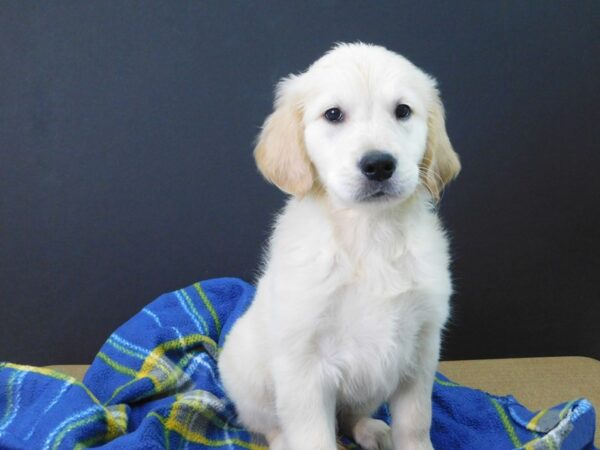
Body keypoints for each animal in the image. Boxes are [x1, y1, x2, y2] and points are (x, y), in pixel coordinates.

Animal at [219, 43, 460, 450]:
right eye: (333, 114)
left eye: (403, 111)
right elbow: (314, 436)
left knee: (351, 415)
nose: (379, 165)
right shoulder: (304, 365)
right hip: (247, 377)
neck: (370, 232)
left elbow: (415, 424)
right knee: (269, 424)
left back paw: (372, 430)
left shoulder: (422, 349)